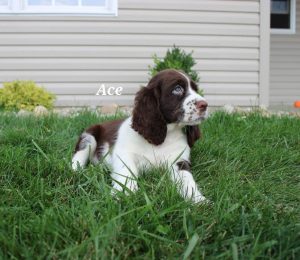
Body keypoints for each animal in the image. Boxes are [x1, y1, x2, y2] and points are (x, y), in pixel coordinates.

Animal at [72, 69, 209, 203]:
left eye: (196, 89)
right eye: (177, 89)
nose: (205, 105)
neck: (165, 135)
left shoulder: (179, 160)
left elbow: (187, 178)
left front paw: (198, 199)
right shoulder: (123, 152)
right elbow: (127, 170)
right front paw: (124, 193)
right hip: (89, 136)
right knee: (78, 157)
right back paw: (79, 172)